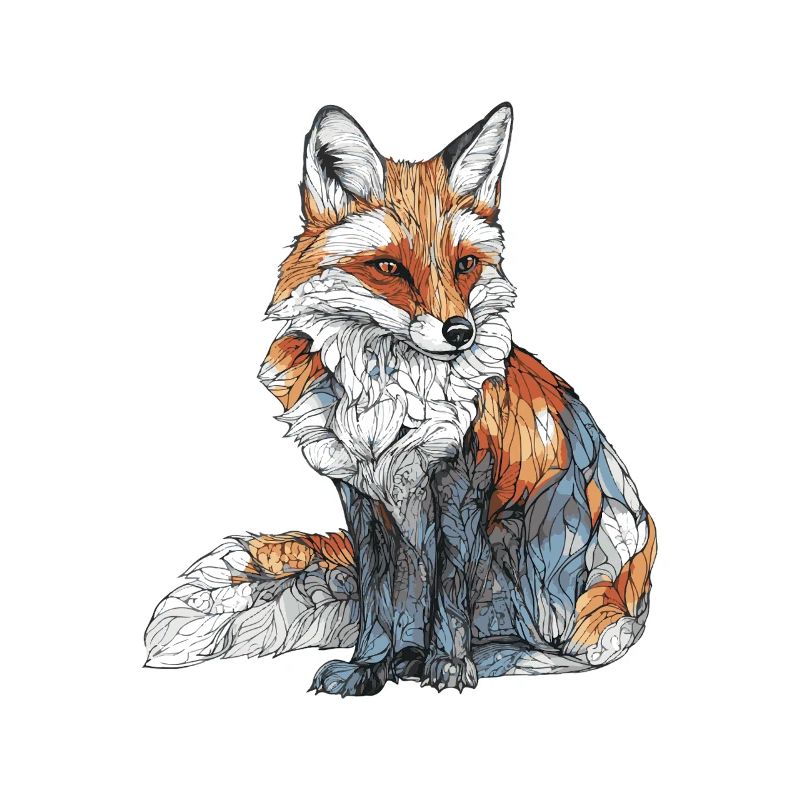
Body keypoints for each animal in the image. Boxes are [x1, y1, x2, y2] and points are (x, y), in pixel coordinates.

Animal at [145, 103, 657, 695]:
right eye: (389, 268)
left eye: (465, 265)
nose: (460, 332)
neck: (386, 401)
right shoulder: (361, 493)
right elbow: (377, 596)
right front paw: (369, 666)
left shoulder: (460, 482)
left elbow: (450, 593)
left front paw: (450, 664)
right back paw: (406, 659)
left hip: (545, 548)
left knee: (558, 649)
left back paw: (481, 657)